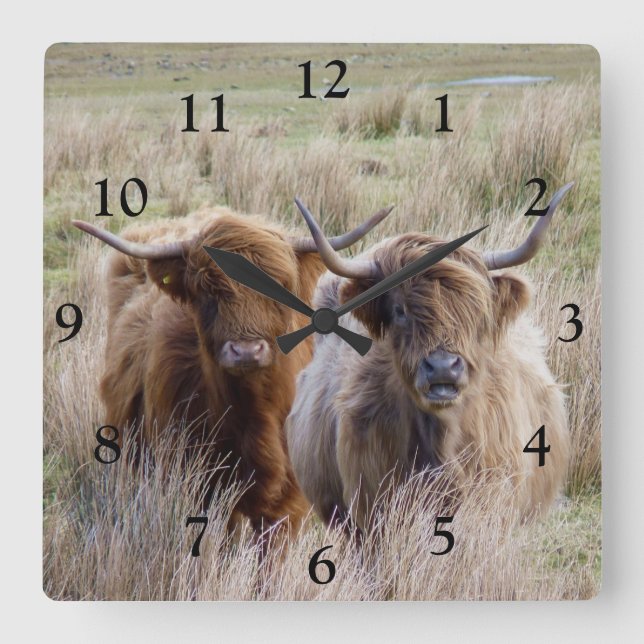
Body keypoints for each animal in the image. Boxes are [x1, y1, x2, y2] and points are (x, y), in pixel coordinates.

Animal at [72, 203, 392, 537]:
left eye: (281, 288)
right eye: (207, 291)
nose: (246, 351)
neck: (255, 414)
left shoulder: (287, 503)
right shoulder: (204, 489)